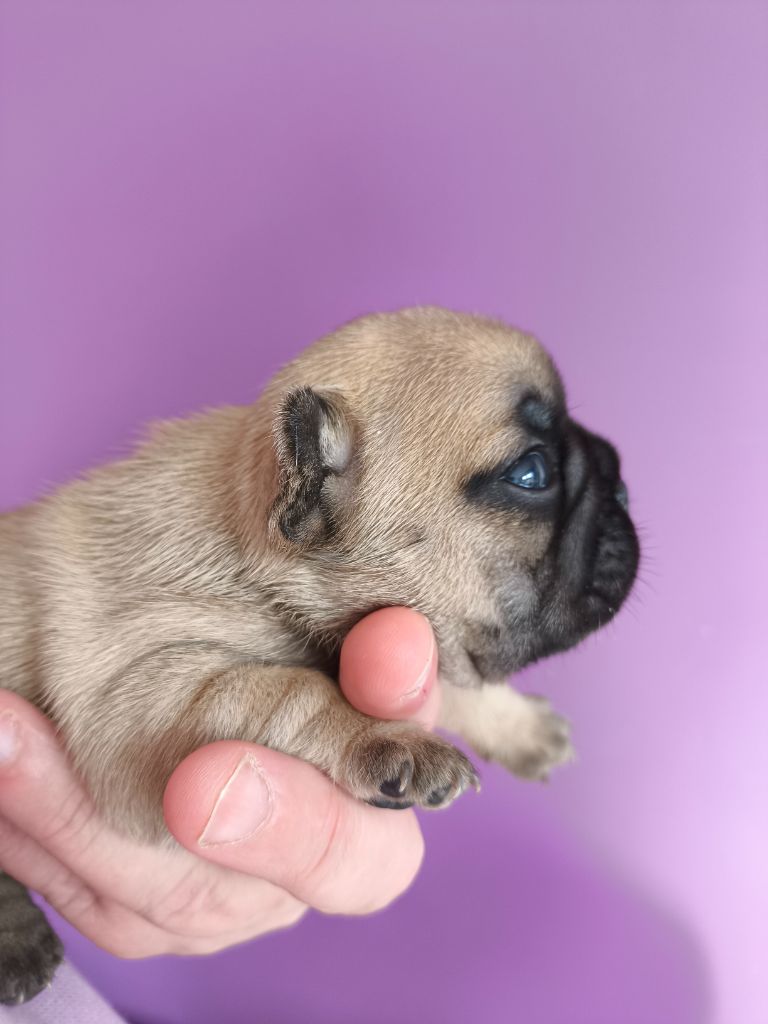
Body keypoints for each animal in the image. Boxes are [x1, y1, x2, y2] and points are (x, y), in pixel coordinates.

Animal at [0, 307, 639, 1001]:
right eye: (532, 473)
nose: (620, 472)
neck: (256, 538)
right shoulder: (140, 698)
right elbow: (291, 689)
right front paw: (388, 740)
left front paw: (518, 724)